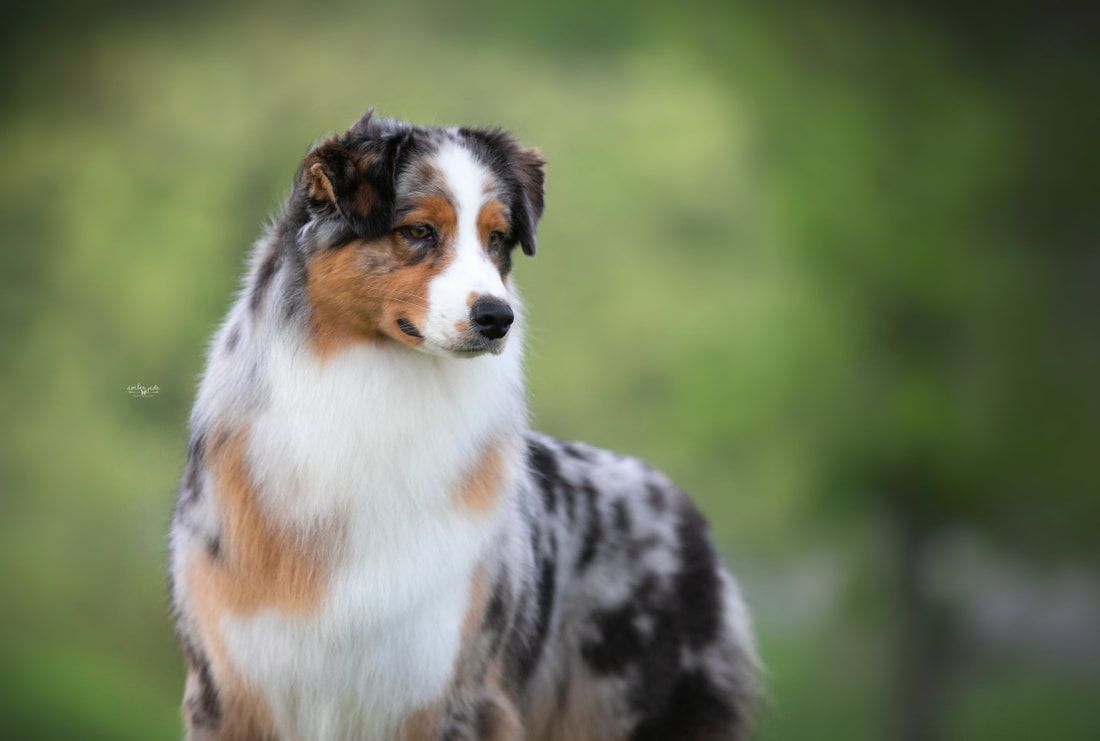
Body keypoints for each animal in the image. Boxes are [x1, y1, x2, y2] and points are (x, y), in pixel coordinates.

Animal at [169, 109, 756, 738]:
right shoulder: (227, 689)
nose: (498, 317)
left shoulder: (453, 686)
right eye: (419, 231)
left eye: (497, 240)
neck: (379, 387)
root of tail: (682, 505)